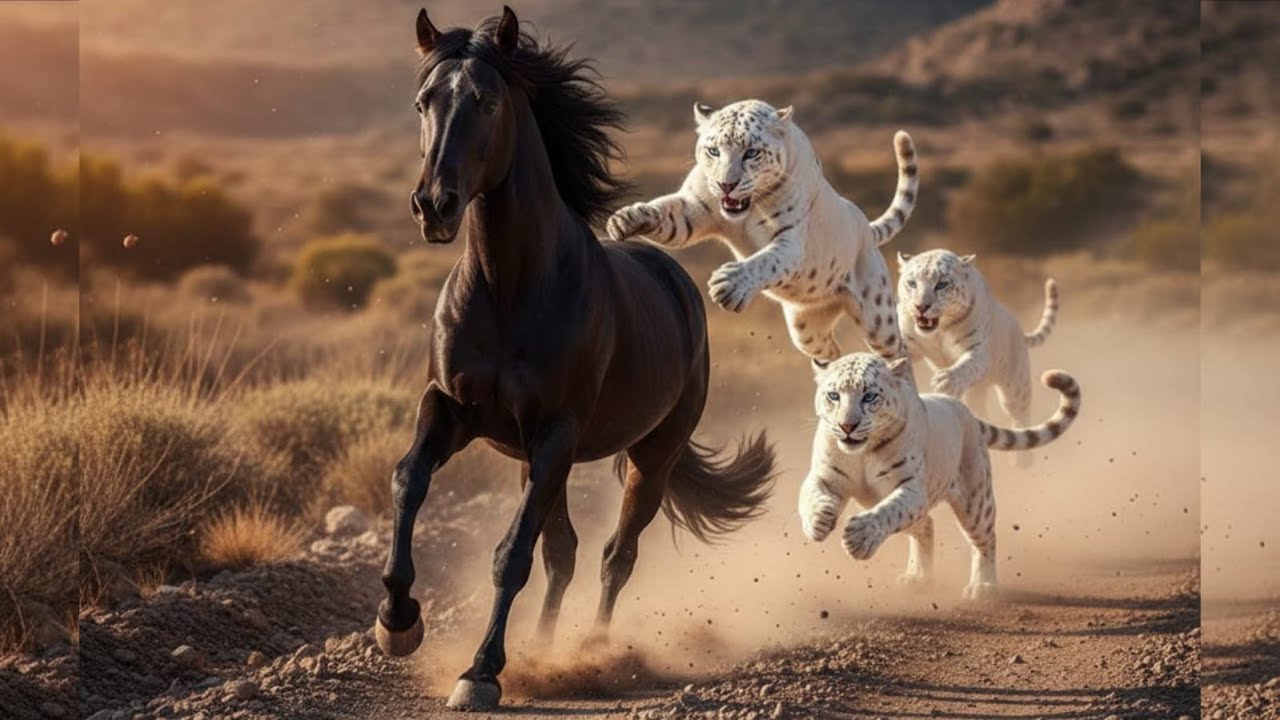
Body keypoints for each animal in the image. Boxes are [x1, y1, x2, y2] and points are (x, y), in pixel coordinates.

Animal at [375, 6, 777, 710]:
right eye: (423, 102)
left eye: (484, 100)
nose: (433, 206)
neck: (508, 289)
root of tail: (677, 283)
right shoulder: (452, 410)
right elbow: (408, 482)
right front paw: (398, 623)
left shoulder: (557, 432)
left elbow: (512, 555)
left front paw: (480, 673)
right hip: (541, 461)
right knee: (563, 551)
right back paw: (542, 650)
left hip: (648, 455)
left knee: (616, 554)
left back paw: (592, 649)